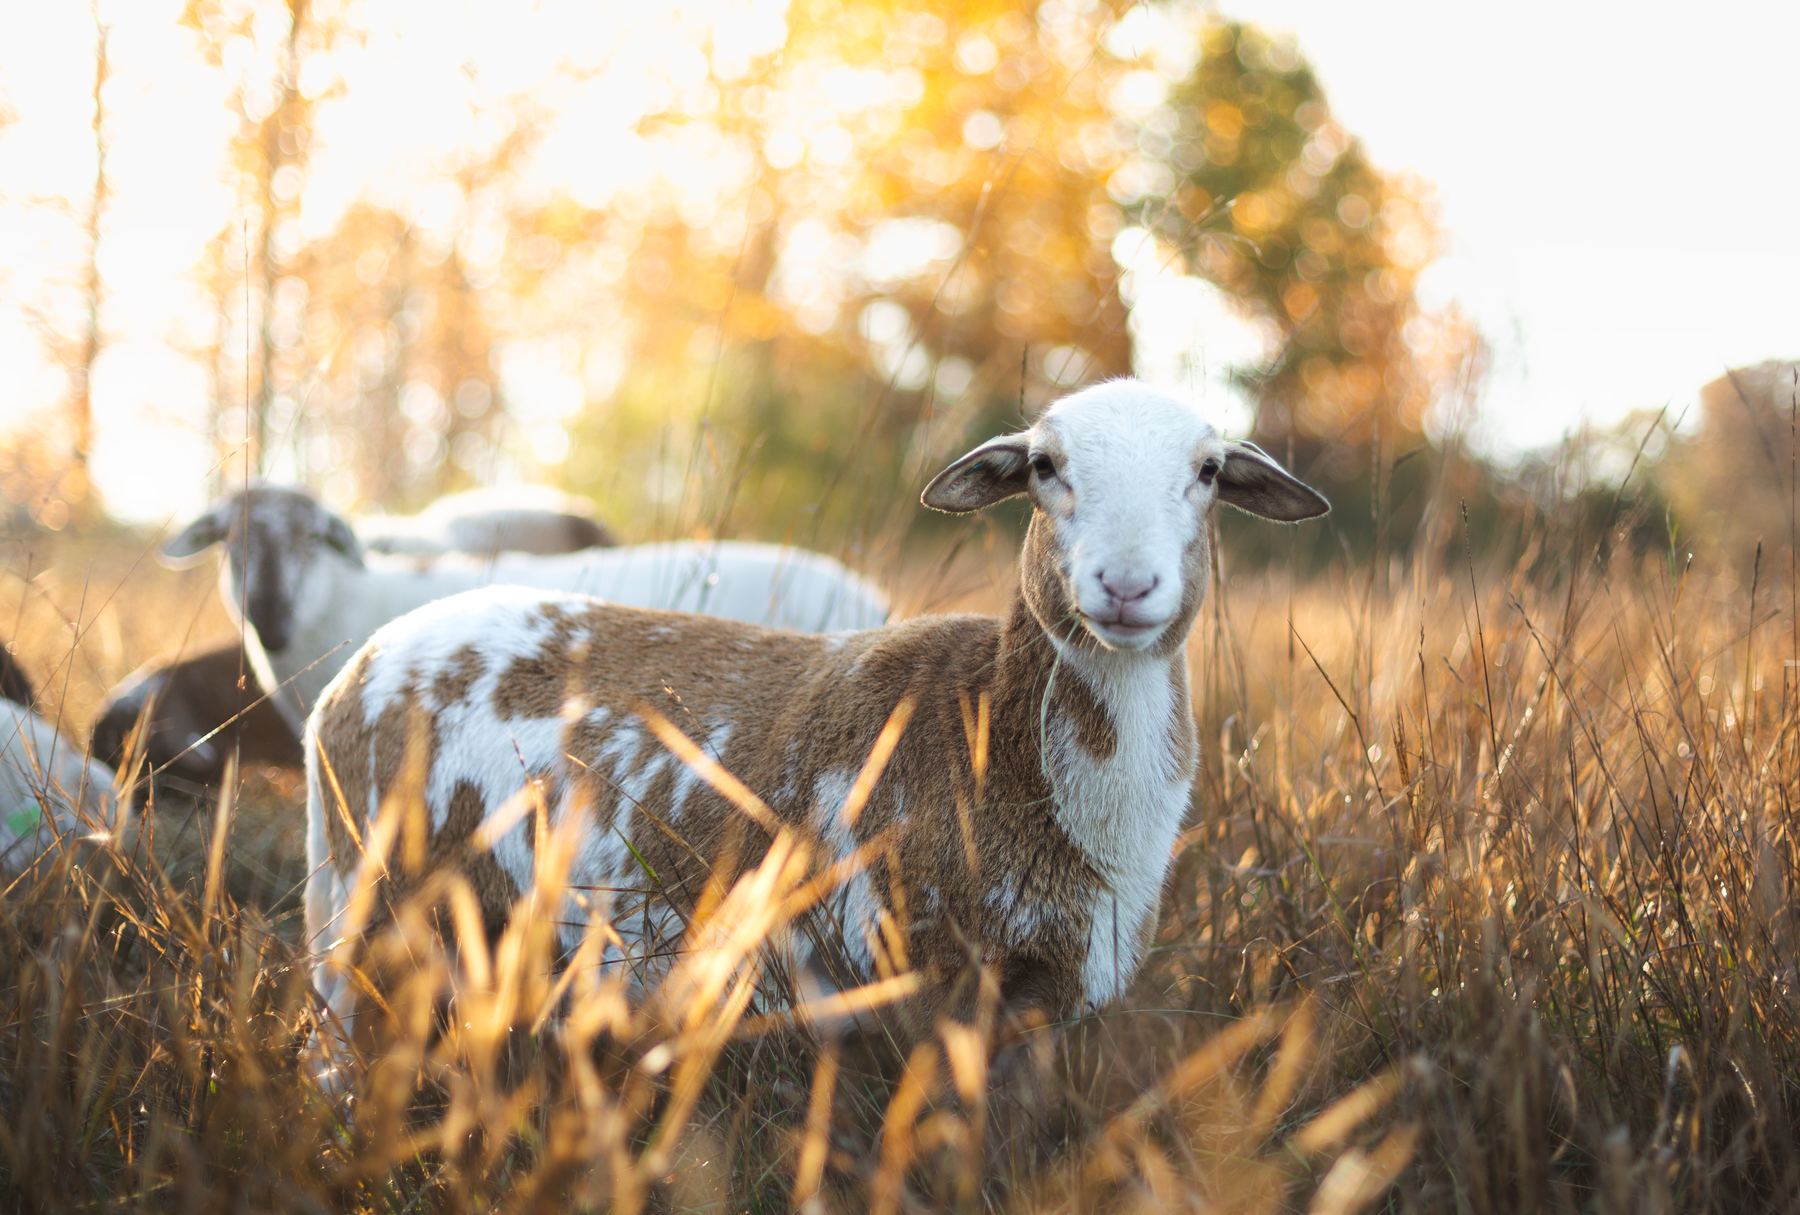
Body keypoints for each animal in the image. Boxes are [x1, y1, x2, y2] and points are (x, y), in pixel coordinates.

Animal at [301, 379, 1328, 1048]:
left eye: (1208, 471)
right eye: (1043, 465)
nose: (1126, 584)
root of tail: (353, 670)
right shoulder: (925, 984)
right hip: (364, 908)